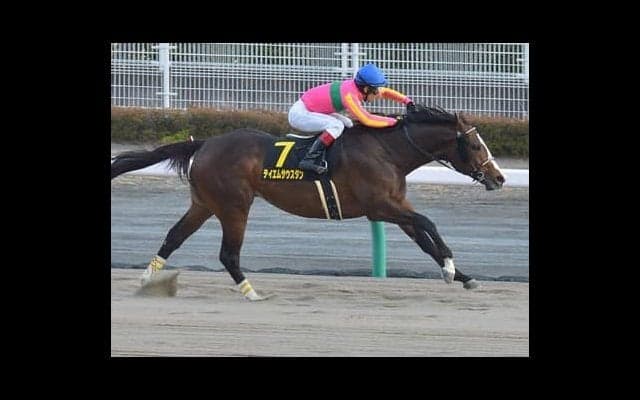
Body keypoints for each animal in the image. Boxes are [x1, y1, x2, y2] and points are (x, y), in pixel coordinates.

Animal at [111, 104, 505, 301]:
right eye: (474, 145)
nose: (499, 178)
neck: (387, 151)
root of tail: (205, 143)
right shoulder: (379, 206)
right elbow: (428, 223)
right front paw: (451, 268)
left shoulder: (393, 206)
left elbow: (424, 239)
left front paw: (463, 276)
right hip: (234, 205)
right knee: (228, 254)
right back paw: (252, 294)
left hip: (204, 203)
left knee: (174, 237)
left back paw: (147, 280)